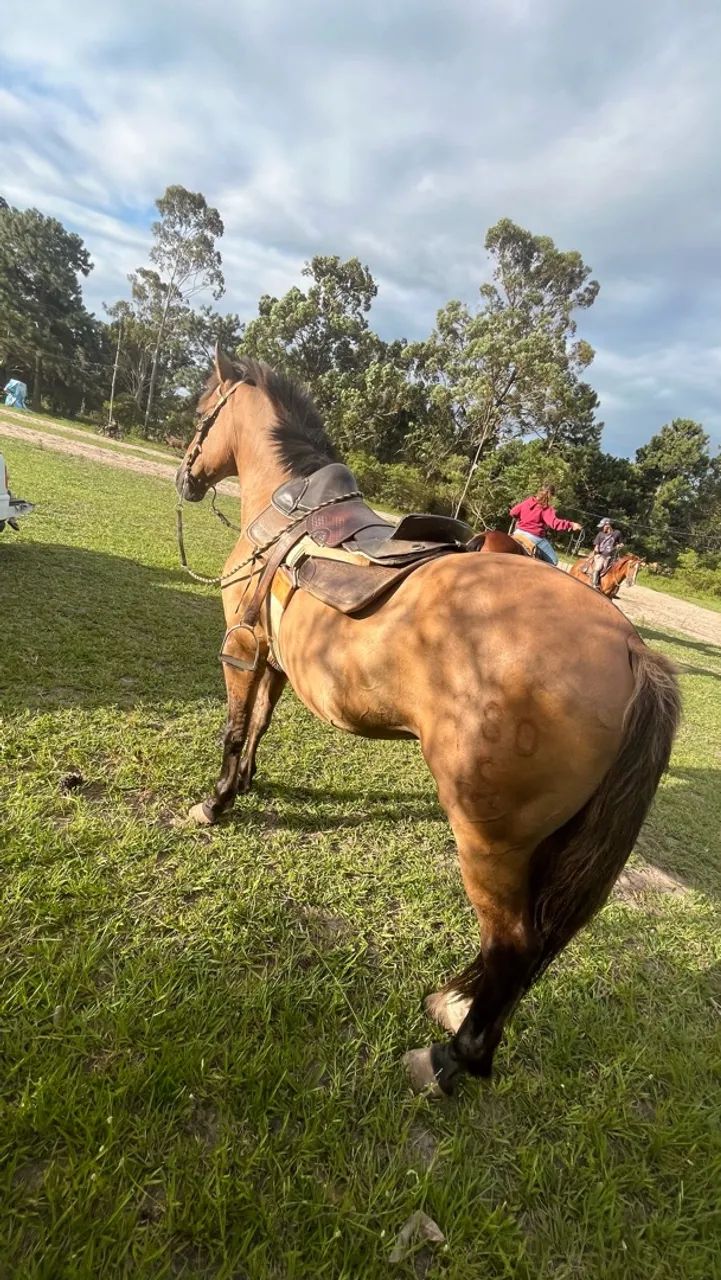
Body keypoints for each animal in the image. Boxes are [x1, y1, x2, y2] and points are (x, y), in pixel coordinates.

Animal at [176, 350, 680, 1097]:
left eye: (199, 409)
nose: (185, 476)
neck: (286, 508)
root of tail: (632, 650)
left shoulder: (239, 649)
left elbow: (236, 727)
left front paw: (215, 802)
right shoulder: (273, 658)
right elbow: (260, 724)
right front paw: (245, 784)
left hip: (489, 838)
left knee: (513, 945)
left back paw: (450, 1059)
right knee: (537, 948)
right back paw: (457, 1014)